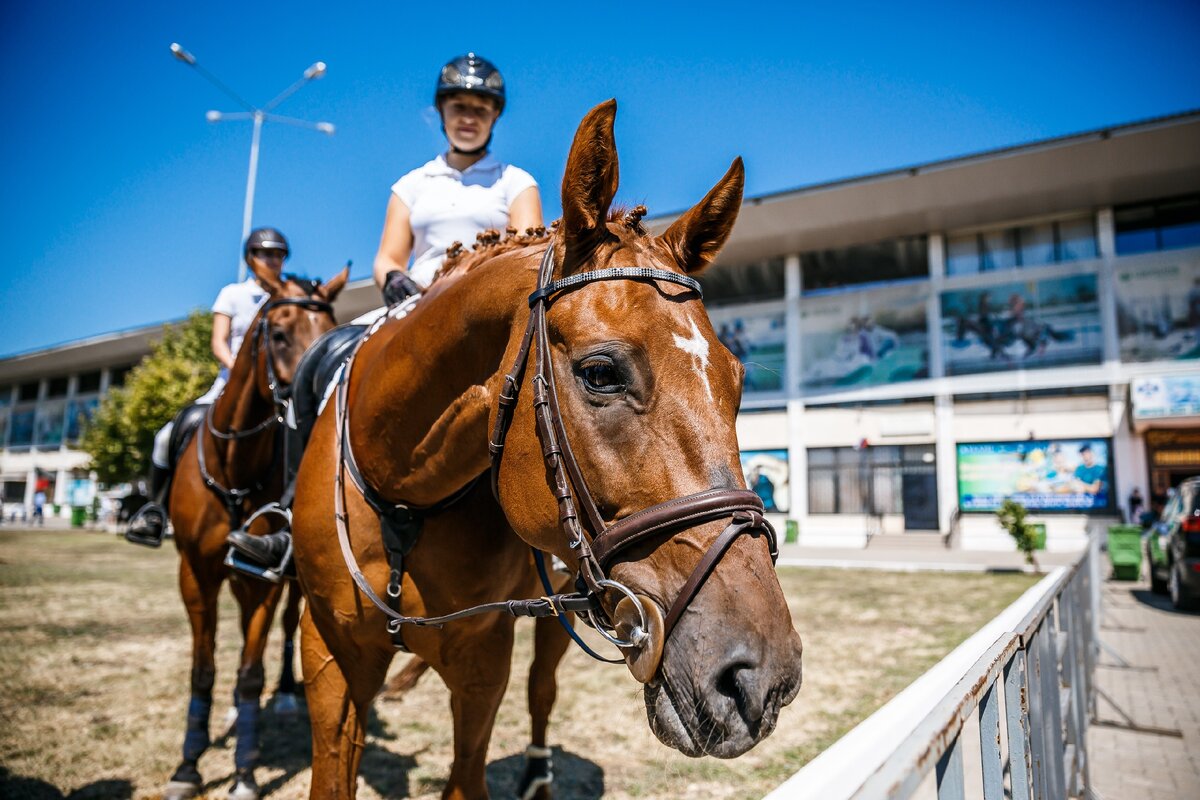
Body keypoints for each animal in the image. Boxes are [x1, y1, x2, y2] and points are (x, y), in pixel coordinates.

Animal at [163, 262, 348, 800]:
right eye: (280, 333)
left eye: (330, 327)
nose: (317, 401)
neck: (234, 468)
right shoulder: (196, 573)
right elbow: (202, 670)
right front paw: (188, 765)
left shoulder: (261, 581)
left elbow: (250, 672)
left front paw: (244, 773)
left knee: (284, 630)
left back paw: (285, 695)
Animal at [288, 101, 806, 800]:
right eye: (600, 373)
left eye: (738, 381)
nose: (761, 678)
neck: (401, 497)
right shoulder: (328, 654)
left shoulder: (482, 658)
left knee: (542, 690)